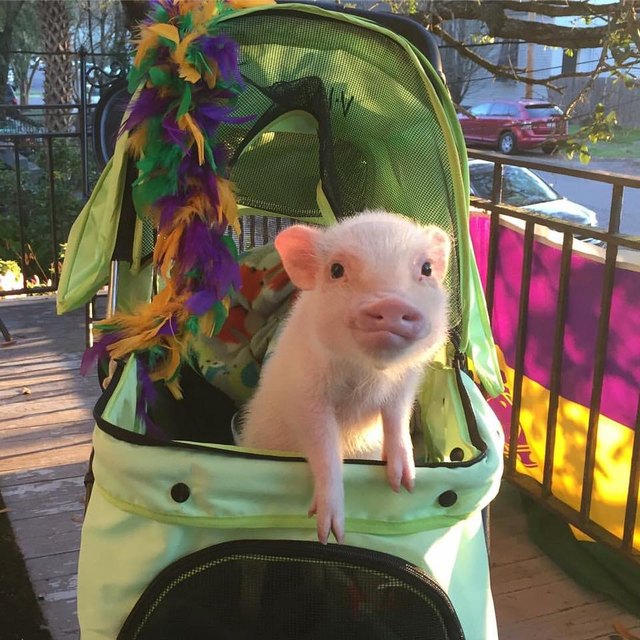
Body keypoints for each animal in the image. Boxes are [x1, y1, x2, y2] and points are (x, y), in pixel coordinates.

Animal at [238, 210, 451, 544]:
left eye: (426, 268)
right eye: (336, 270)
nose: (391, 303)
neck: (370, 374)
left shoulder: (405, 384)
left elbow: (396, 418)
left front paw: (405, 484)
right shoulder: (306, 395)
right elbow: (324, 446)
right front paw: (330, 534)